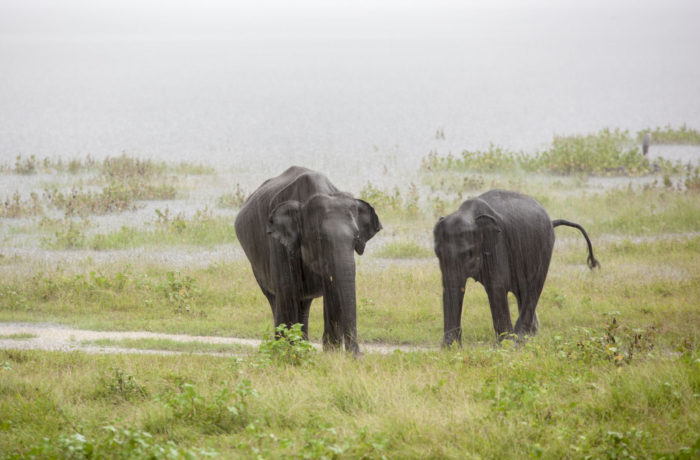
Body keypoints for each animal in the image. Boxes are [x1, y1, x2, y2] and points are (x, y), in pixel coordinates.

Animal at [234, 167, 378, 354]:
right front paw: (286, 352)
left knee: (304, 303)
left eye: (356, 238)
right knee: (275, 299)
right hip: (256, 266)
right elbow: (286, 291)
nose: (357, 356)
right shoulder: (280, 246)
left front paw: (331, 353)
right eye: (320, 239)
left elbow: (333, 293)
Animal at [432, 189, 596, 346]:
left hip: (545, 245)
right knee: (522, 291)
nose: (450, 345)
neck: (469, 214)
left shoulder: (498, 244)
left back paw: (520, 339)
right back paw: (530, 334)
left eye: (468, 253)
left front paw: (504, 345)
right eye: (437, 253)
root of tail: (551, 221)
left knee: (533, 288)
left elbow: (496, 287)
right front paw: (449, 348)